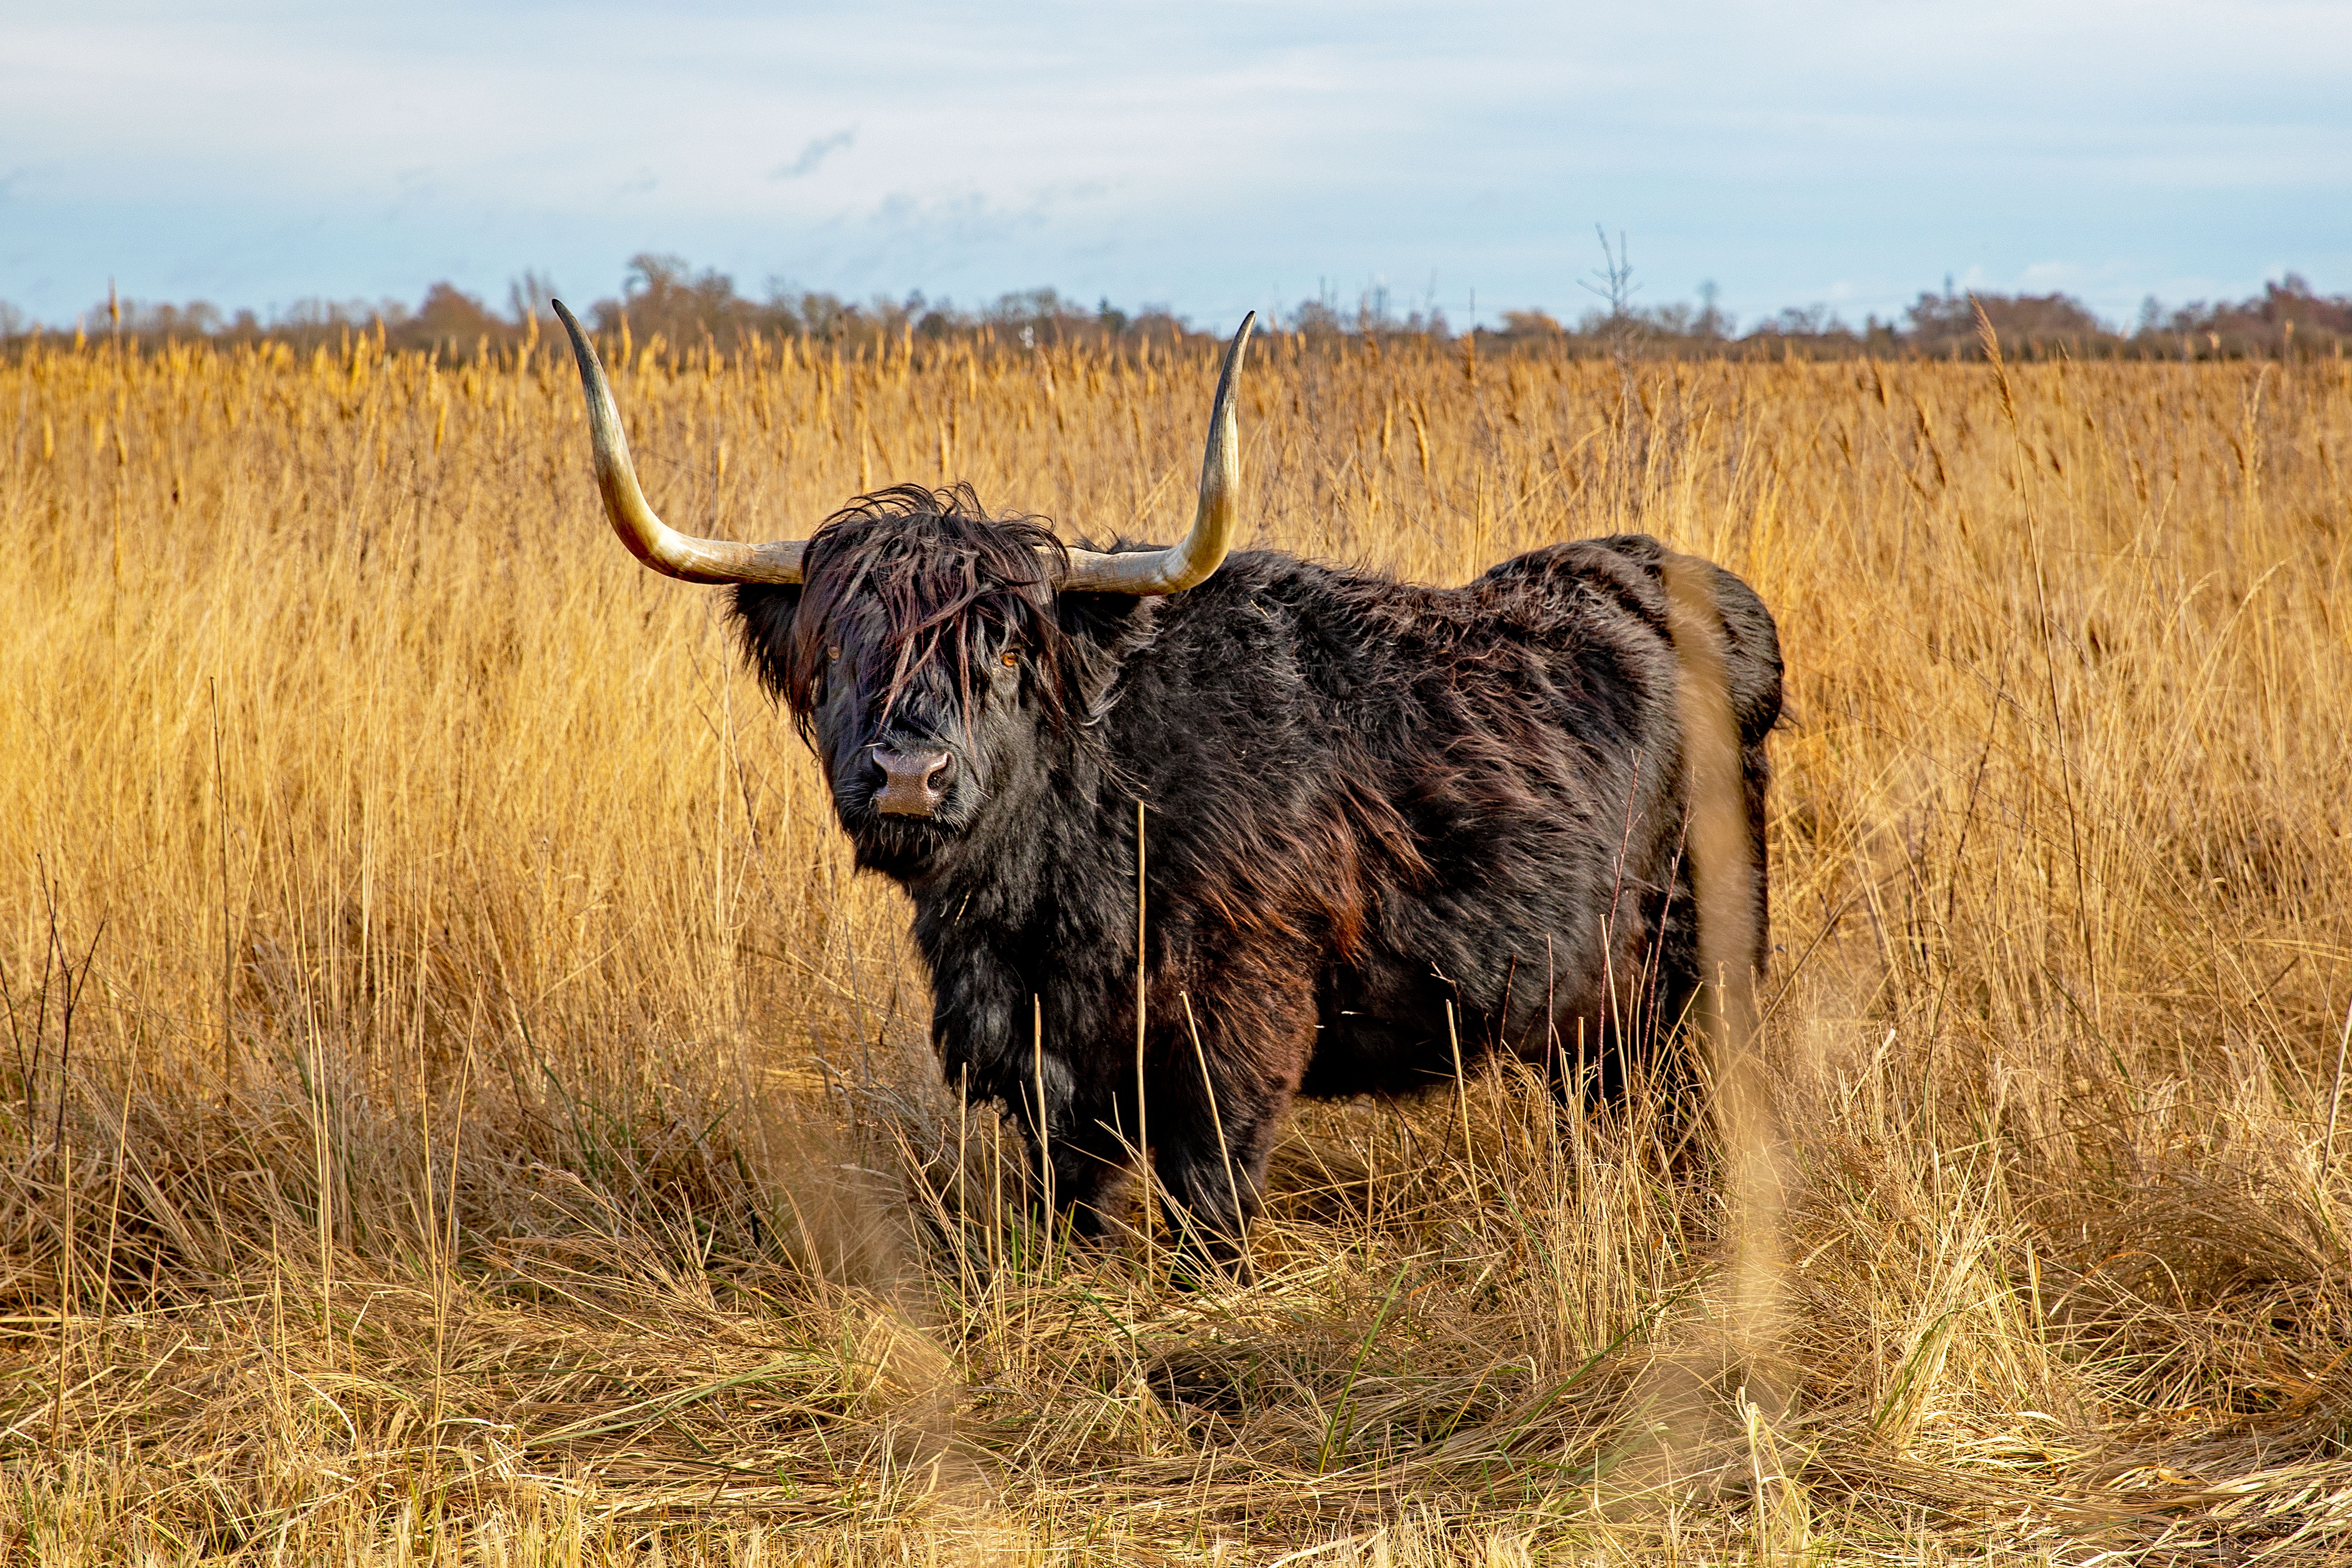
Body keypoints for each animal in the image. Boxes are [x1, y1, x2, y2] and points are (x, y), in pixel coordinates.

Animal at [551, 302, 1781, 1276]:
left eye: (1008, 651)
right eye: (841, 650)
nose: (908, 773)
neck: (1047, 887)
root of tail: (1695, 588)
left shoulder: (1239, 1019)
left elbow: (1210, 1198)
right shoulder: (1042, 1054)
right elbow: (1061, 1195)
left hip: (1699, 952)